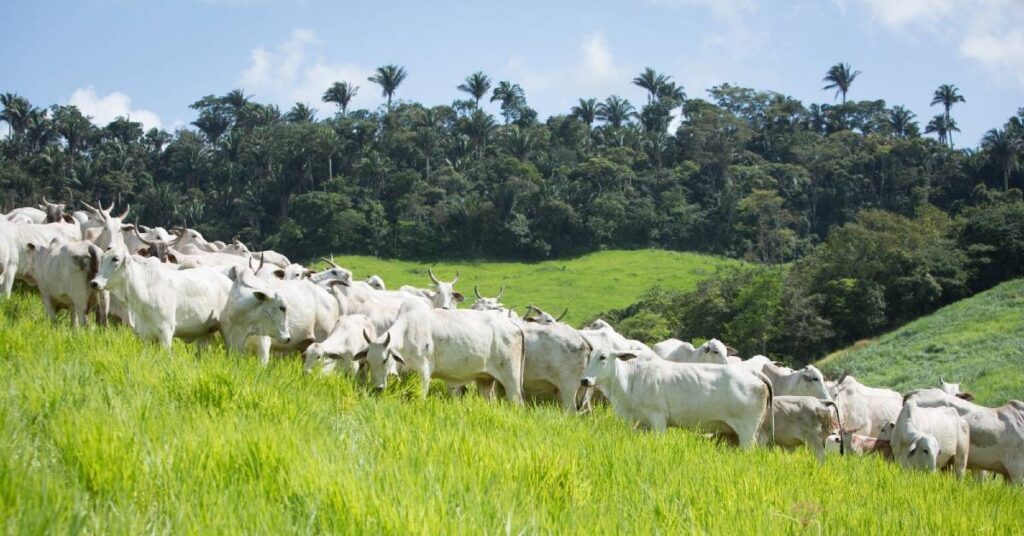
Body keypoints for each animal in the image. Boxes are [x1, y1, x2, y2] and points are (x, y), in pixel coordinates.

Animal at [90, 249, 232, 348]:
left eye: (115, 259)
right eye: (102, 259)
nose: (94, 283)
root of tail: (227, 281)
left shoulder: (166, 333)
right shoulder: (145, 336)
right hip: (204, 334)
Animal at [360, 299, 524, 399]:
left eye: (385, 359)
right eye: (368, 361)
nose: (377, 388)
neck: (407, 331)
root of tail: (515, 325)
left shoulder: (424, 371)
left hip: (512, 380)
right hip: (485, 380)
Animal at [581, 344, 770, 448]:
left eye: (603, 357)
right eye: (589, 356)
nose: (584, 380)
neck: (631, 378)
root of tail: (754, 373)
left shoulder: (657, 418)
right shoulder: (637, 424)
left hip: (747, 433)